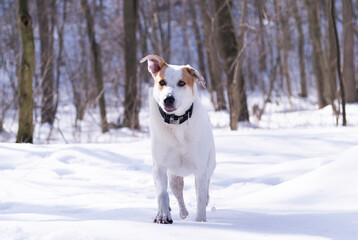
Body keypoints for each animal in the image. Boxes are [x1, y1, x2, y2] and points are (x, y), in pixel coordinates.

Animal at [141, 54, 217, 223]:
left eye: (181, 83)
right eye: (162, 82)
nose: (168, 99)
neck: (176, 124)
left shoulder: (200, 169)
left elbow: (200, 198)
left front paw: (201, 221)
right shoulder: (160, 166)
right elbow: (162, 193)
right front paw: (163, 215)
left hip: (210, 165)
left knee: (207, 185)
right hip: (174, 176)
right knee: (177, 192)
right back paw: (182, 213)